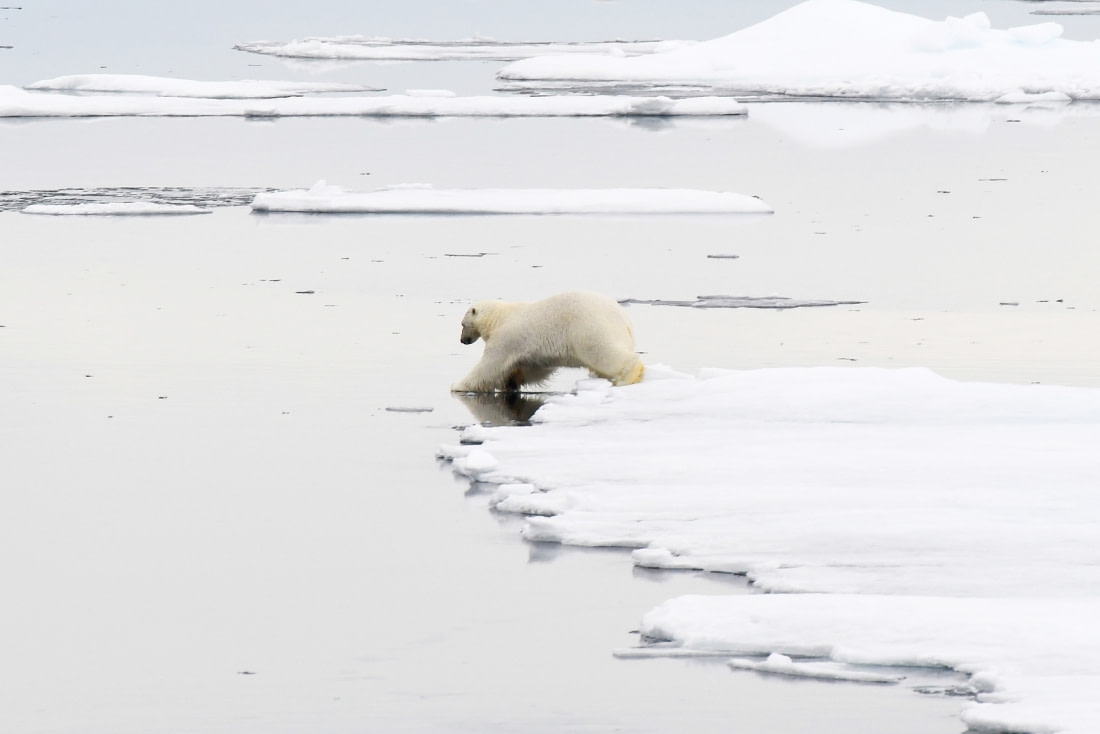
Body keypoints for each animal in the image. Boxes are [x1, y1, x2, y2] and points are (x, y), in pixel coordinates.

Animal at [453, 292, 642, 396]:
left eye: (462, 324)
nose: (463, 340)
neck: (500, 317)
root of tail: (624, 318)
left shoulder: (506, 338)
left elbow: (490, 365)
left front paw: (457, 386)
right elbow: (532, 368)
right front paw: (511, 381)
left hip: (589, 328)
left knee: (603, 352)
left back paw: (628, 377)